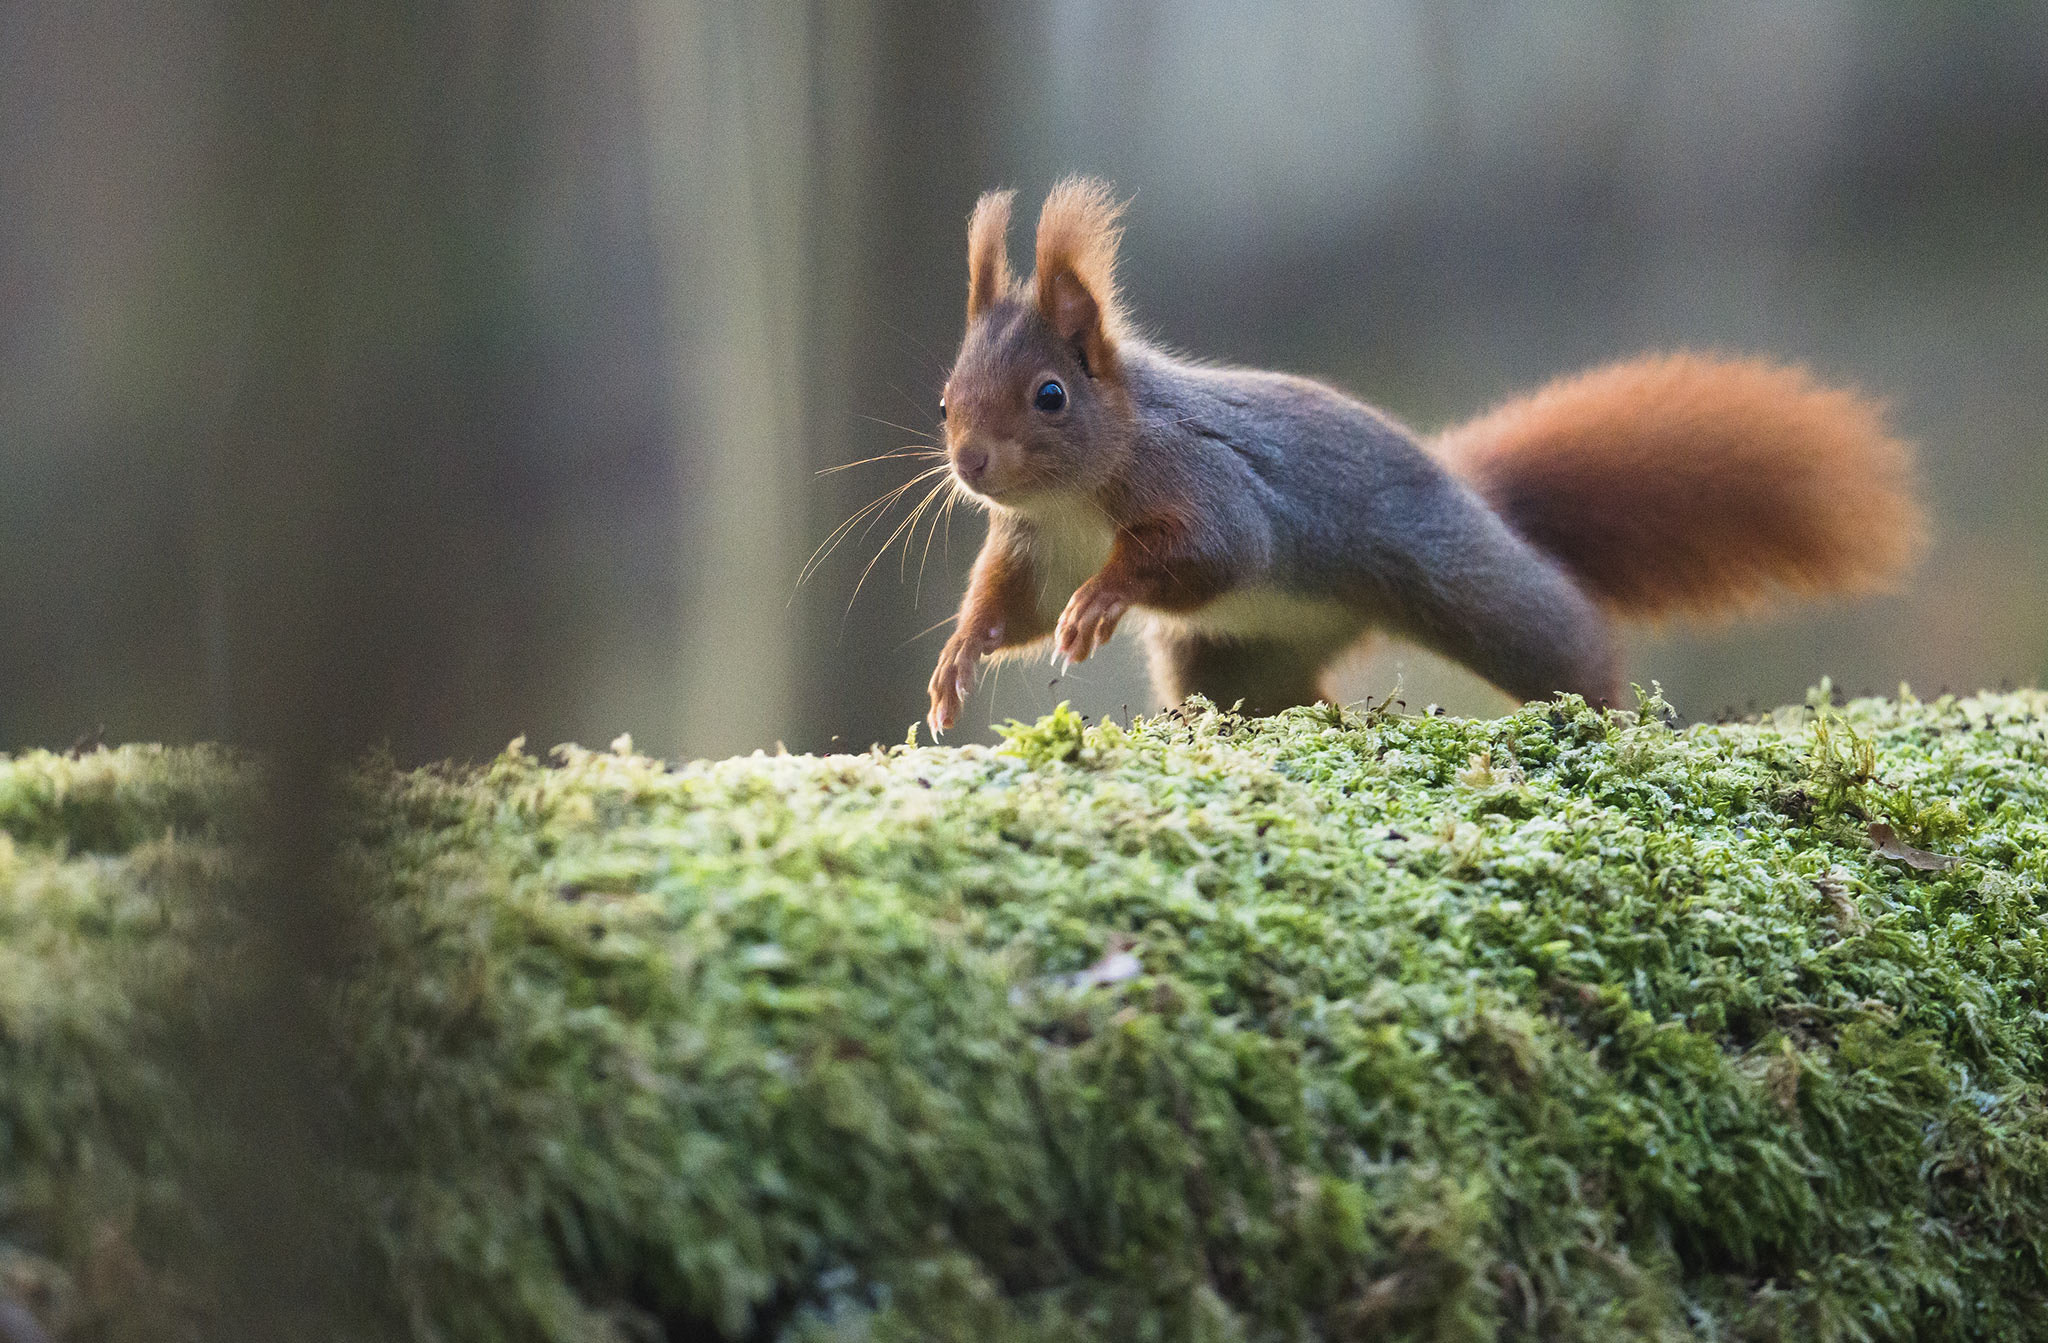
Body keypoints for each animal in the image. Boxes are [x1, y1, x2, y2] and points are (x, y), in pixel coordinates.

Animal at [921, 178, 1925, 732]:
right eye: (944, 399)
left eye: (1051, 395)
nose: (971, 464)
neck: (1072, 502)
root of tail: (1468, 488)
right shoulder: (1033, 547)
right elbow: (1008, 609)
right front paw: (958, 661)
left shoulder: (1206, 478)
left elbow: (1214, 548)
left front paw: (1102, 599)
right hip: (1235, 650)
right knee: (1267, 692)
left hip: (1457, 579)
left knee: (1560, 628)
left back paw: (1608, 703)